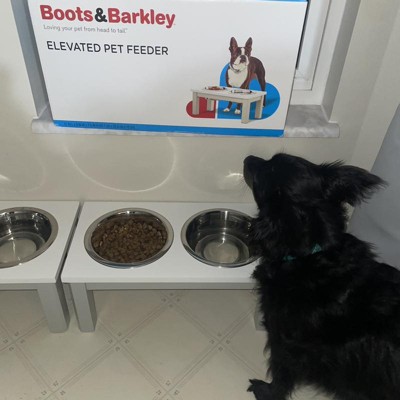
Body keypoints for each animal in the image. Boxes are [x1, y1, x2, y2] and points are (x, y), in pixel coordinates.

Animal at [242, 152, 400, 398]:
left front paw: (266, 390)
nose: (248, 158)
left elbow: (281, 374)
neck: (313, 254)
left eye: (269, 170)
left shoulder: (285, 342)